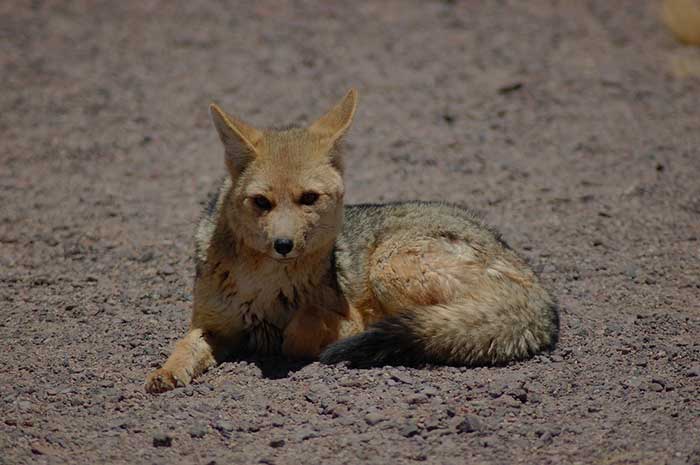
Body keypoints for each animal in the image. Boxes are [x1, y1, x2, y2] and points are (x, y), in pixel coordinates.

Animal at [145, 88, 560, 392]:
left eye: (308, 198)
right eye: (261, 202)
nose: (283, 245)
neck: (262, 284)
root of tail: (540, 291)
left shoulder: (346, 316)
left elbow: (296, 332)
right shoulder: (213, 325)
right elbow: (184, 345)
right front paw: (167, 371)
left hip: (389, 267)